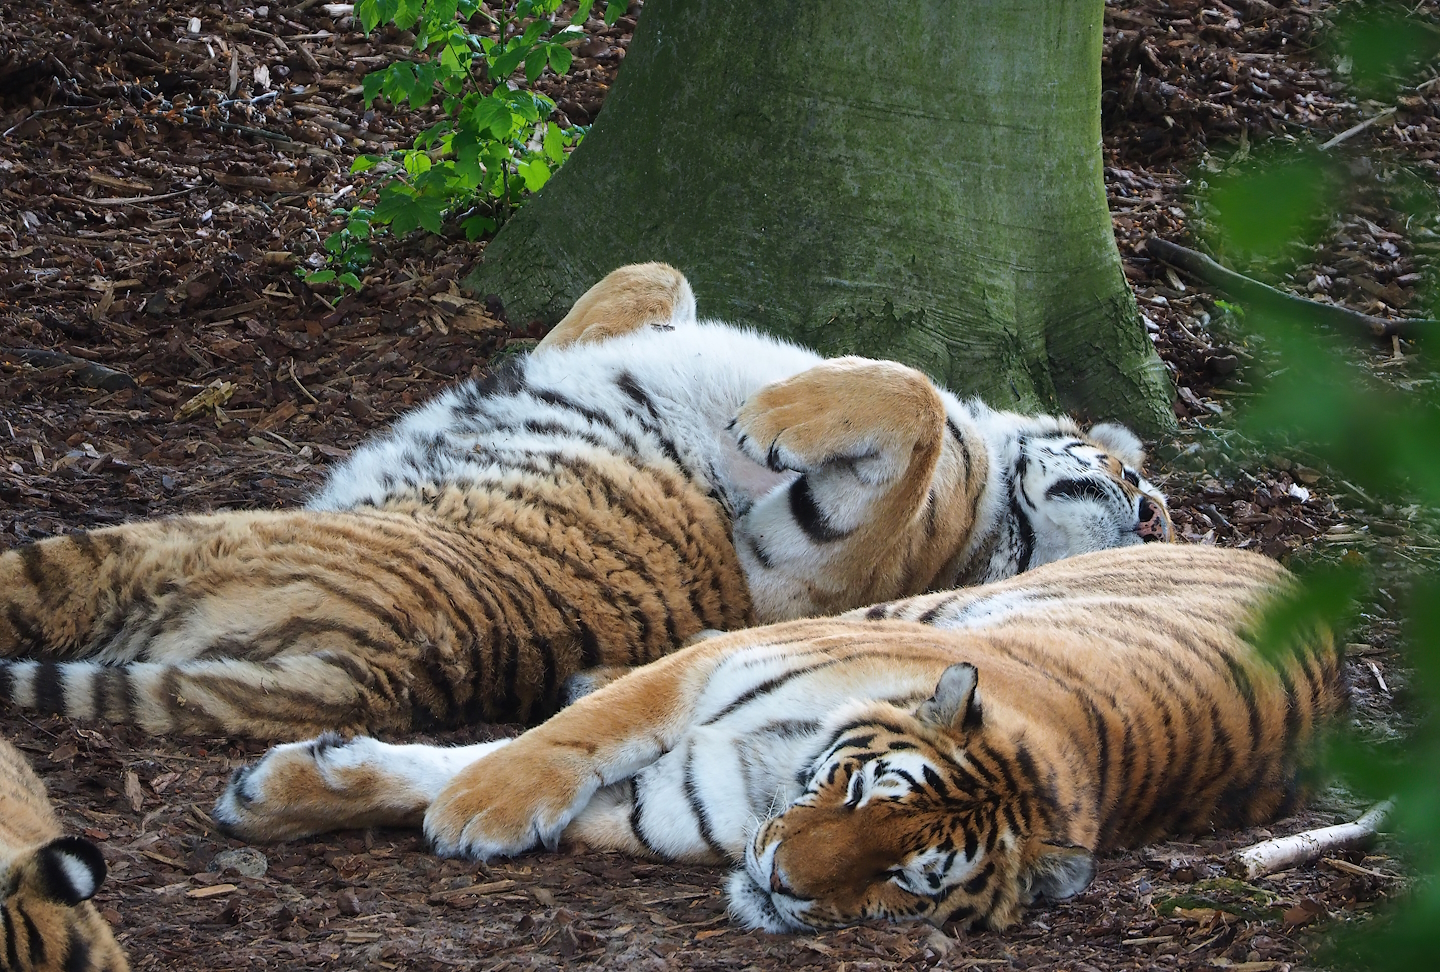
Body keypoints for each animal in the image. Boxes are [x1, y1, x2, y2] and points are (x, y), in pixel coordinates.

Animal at [0, 263, 1171, 739]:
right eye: (1145, 496)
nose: (1147, 501)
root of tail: (392, 674)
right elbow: (651, 278)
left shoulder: (798, 571)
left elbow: (913, 397)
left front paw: (771, 416)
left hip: (157, 542)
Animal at [212, 544, 1342, 933]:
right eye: (860, 793)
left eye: (907, 879)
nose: (781, 881)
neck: (768, 782)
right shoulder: (707, 670)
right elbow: (556, 740)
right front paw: (471, 805)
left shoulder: (667, 805)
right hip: (929, 600)